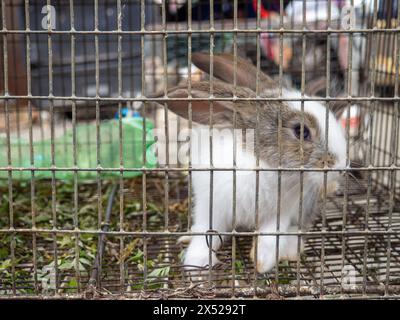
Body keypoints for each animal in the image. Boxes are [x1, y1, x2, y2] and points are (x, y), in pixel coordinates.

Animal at [158, 53, 346, 274]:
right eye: (301, 131)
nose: (341, 166)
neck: (261, 165)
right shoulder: (211, 204)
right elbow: (207, 231)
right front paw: (197, 263)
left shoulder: (282, 211)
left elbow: (270, 236)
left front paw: (262, 262)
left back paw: (291, 250)